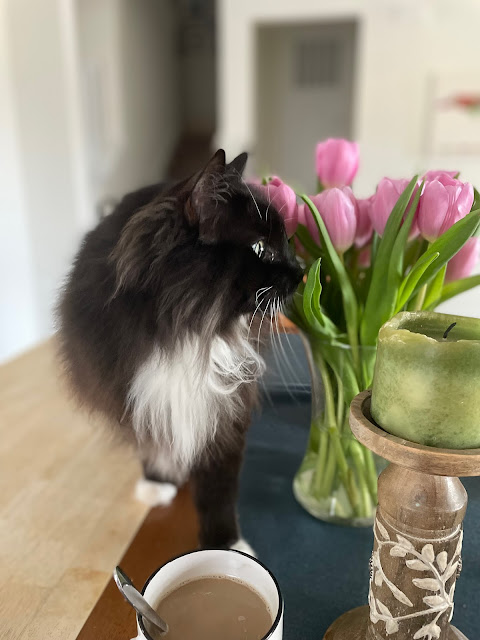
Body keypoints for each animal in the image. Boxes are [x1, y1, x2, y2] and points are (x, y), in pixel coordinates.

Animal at [56, 149, 302, 552]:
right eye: (260, 248)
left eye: (287, 243)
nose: (302, 272)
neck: (185, 331)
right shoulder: (140, 399)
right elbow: (153, 444)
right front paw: (158, 483)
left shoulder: (224, 412)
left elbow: (218, 491)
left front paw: (226, 545)